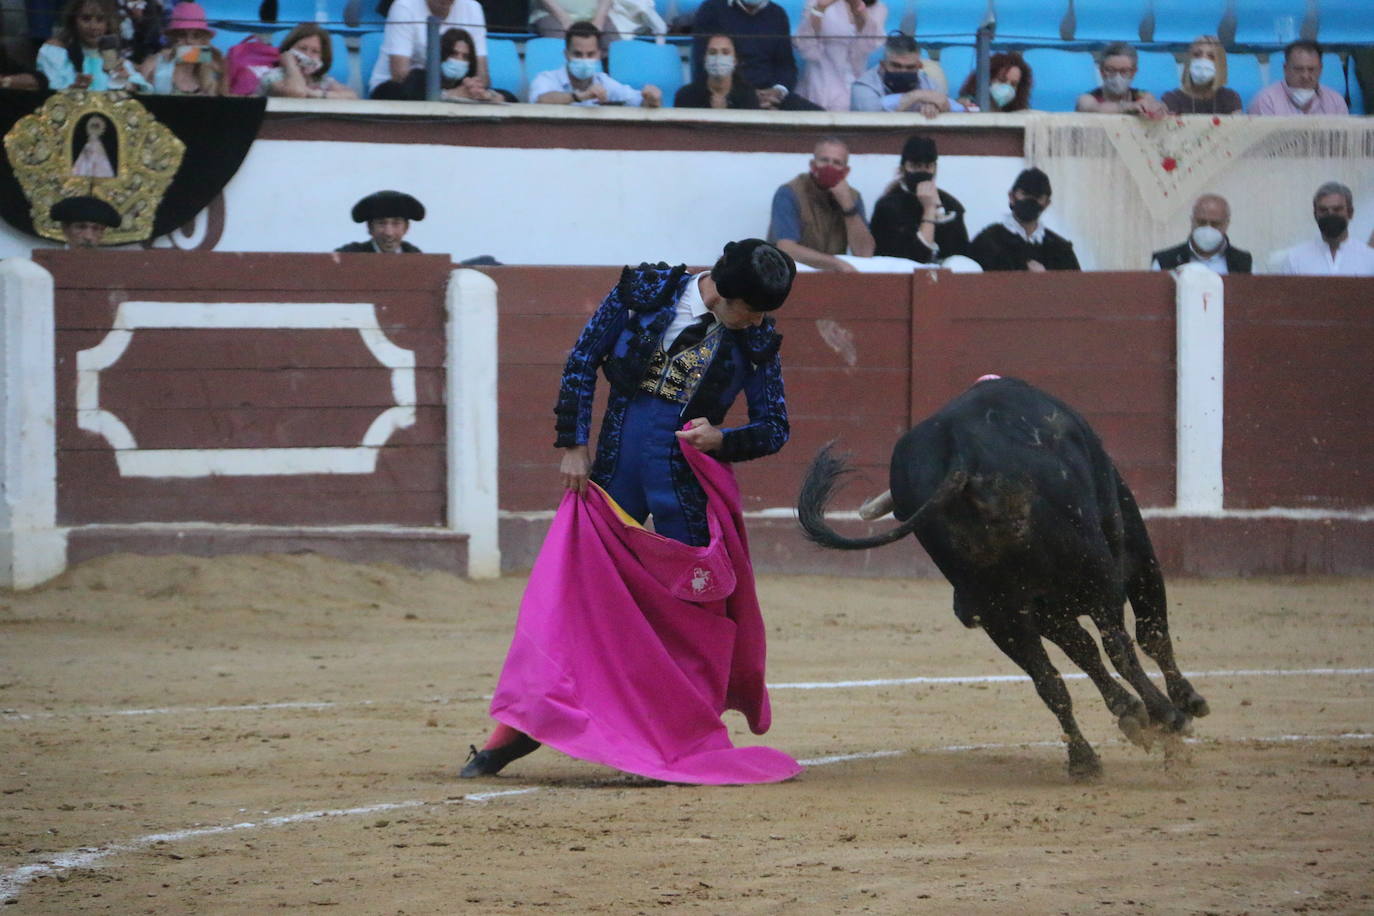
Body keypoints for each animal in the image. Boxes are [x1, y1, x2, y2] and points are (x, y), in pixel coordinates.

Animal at [802, 376, 1209, 780]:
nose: (962, 611)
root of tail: (960, 452)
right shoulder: (1134, 552)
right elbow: (1149, 634)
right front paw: (1187, 704)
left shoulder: (1043, 613)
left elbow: (1082, 655)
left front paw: (1132, 715)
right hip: (1094, 575)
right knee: (1118, 644)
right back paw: (1166, 716)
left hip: (999, 614)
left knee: (1050, 681)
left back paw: (1088, 755)